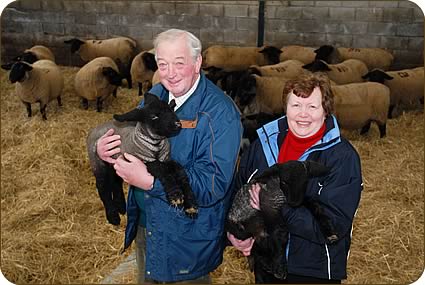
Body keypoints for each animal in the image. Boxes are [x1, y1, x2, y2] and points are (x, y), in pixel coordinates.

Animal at [86, 92, 199, 224]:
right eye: (154, 116)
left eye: (171, 110)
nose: (178, 124)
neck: (156, 145)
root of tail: (95, 129)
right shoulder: (144, 161)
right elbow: (162, 170)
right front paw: (175, 195)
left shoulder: (167, 160)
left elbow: (180, 171)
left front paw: (191, 205)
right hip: (97, 162)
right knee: (102, 186)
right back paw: (113, 215)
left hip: (114, 161)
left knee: (116, 181)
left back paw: (121, 206)